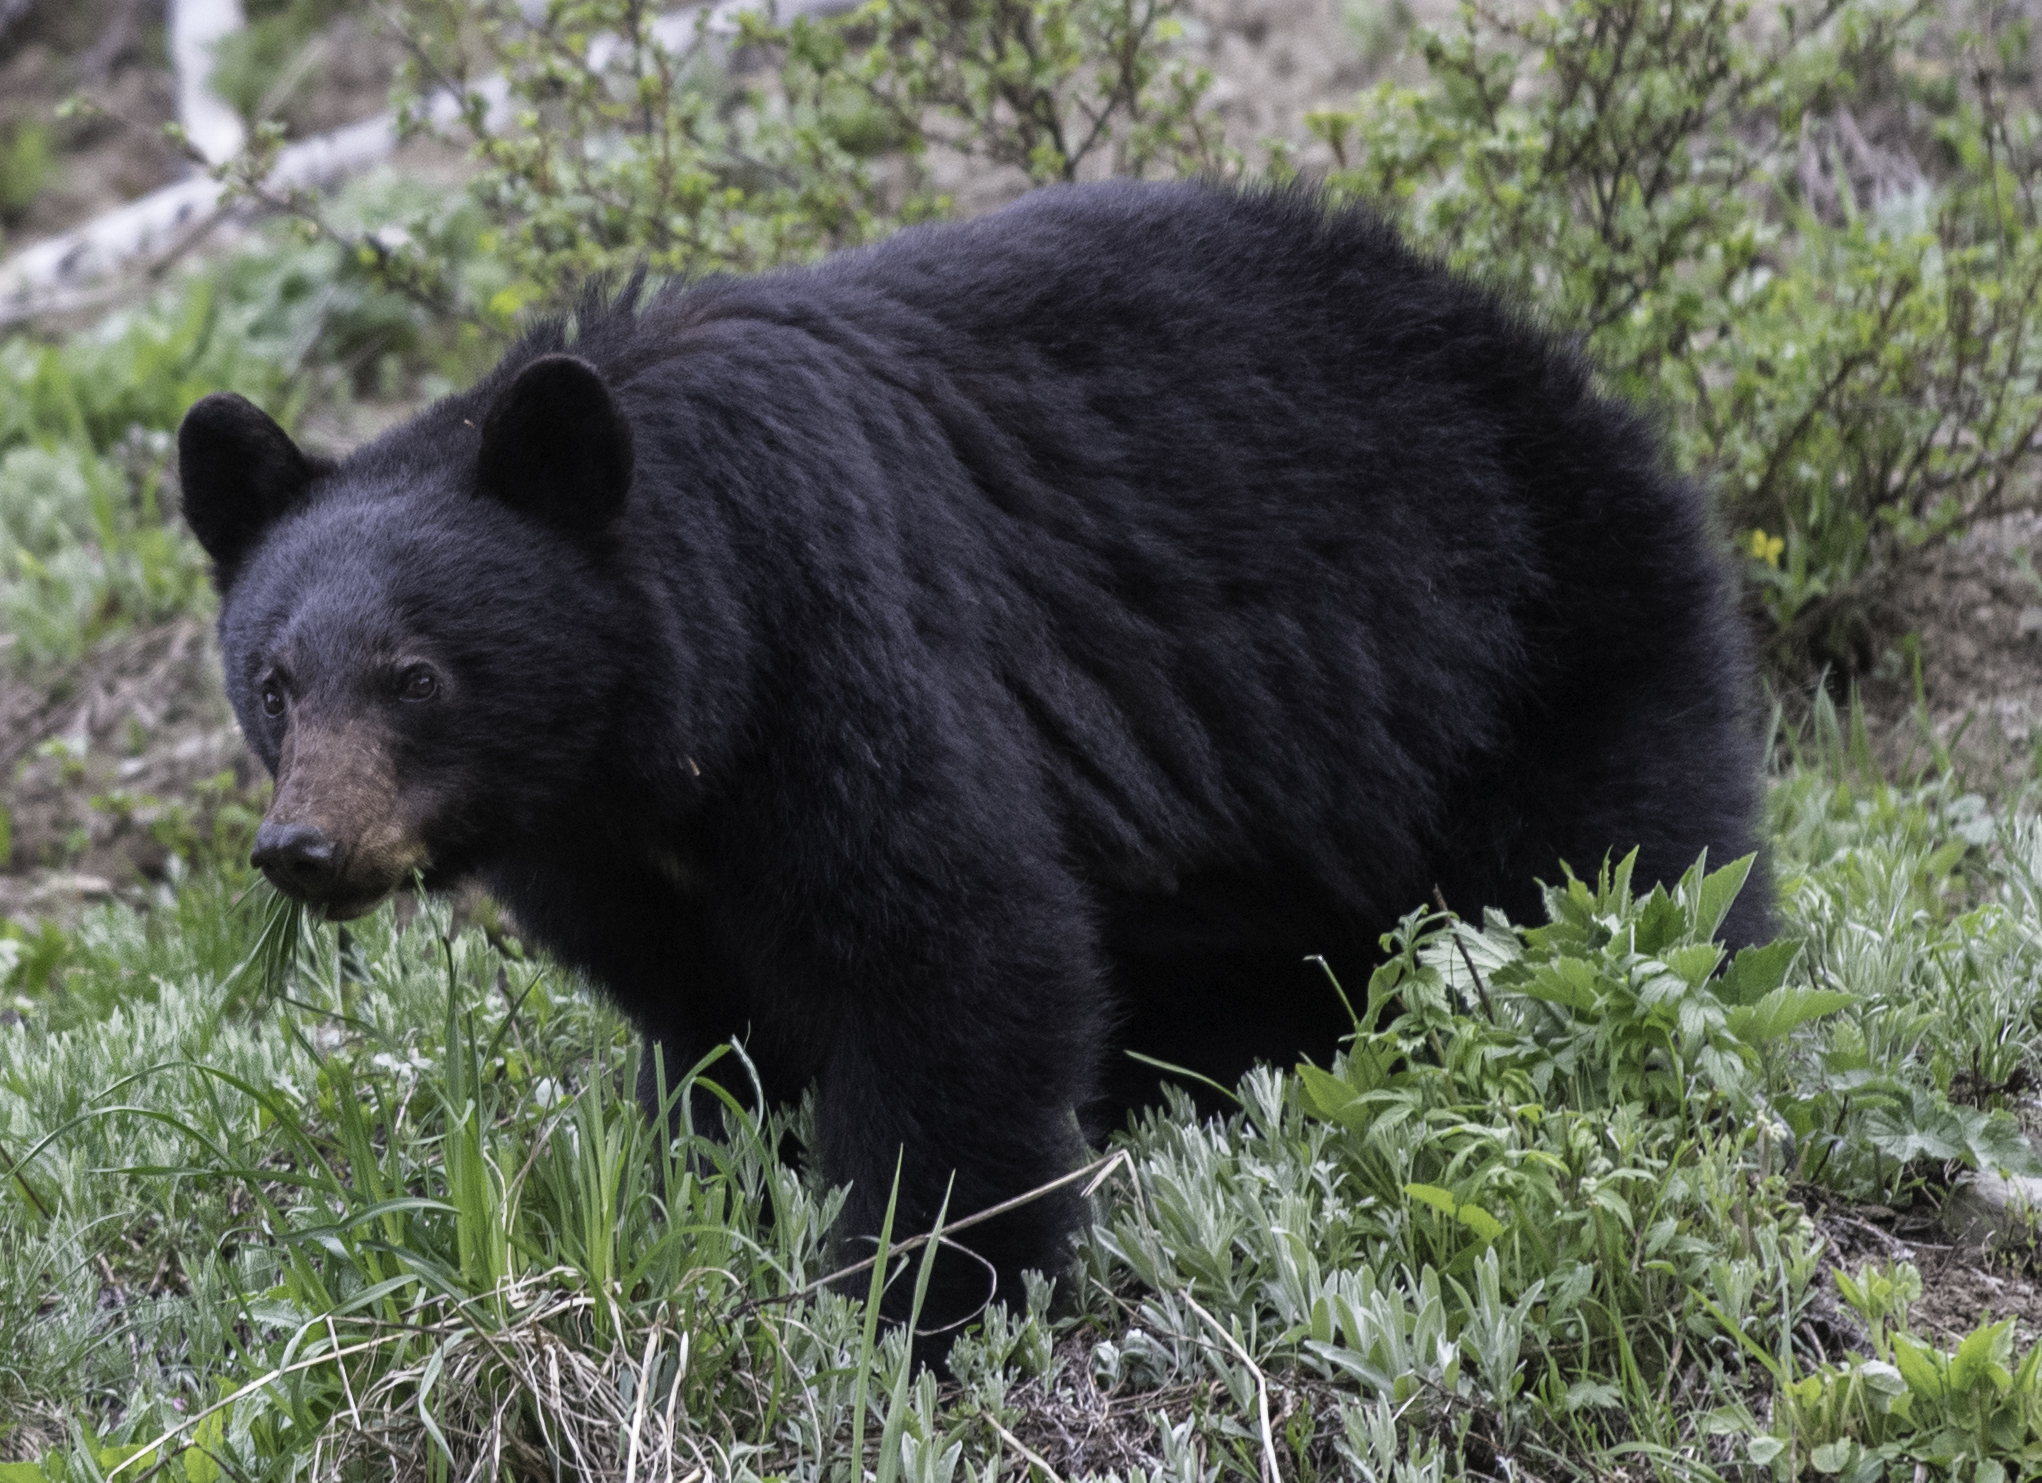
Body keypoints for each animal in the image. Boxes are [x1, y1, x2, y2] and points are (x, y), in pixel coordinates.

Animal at [176, 180, 1770, 1356]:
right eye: (273, 684)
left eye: (416, 675)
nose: (305, 847)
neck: (660, 717)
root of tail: (1545, 356)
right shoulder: (599, 842)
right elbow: (704, 1017)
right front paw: (712, 1175)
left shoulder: (836, 640)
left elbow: (952, 944)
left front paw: (921, 1298)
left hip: (1522, 639)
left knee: (1622, 858)